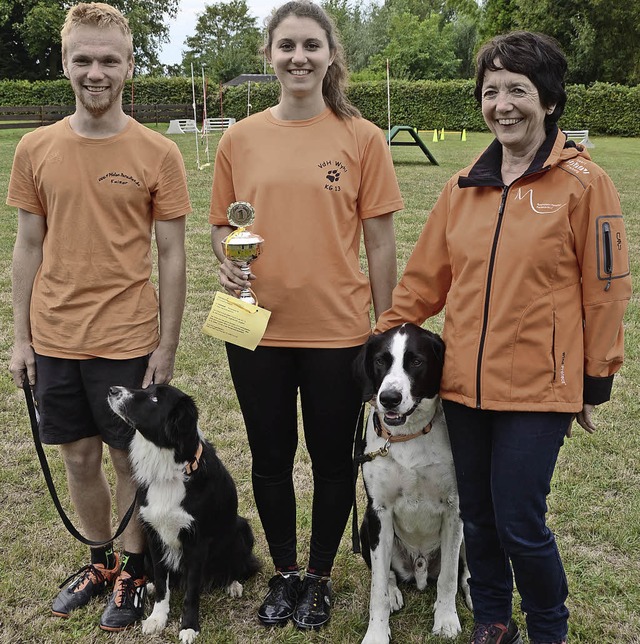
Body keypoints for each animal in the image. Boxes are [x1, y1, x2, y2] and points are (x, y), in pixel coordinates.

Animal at [108, 384, 260, 640]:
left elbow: (191, 591)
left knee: (240, 566)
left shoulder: (197, 542)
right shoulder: (154, 534)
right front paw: (157, 618)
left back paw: (232, 584)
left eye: (154, 398)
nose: (112, 390)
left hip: (241, 528)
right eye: (147, 388)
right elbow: (162, 583)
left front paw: (189, 626)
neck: (169, 471)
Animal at [356, 324, 470, 640]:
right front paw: (376, 634)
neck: (408, 435)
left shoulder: (455, 509)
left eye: (417, 361)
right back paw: (395, 592)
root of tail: (419, 568)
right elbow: (377, 589)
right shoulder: (379, 512)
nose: (389, 398)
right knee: (387, 575)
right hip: (364, 527)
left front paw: (446, 619)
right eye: (380, 361)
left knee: (462, 572)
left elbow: (448, 578)